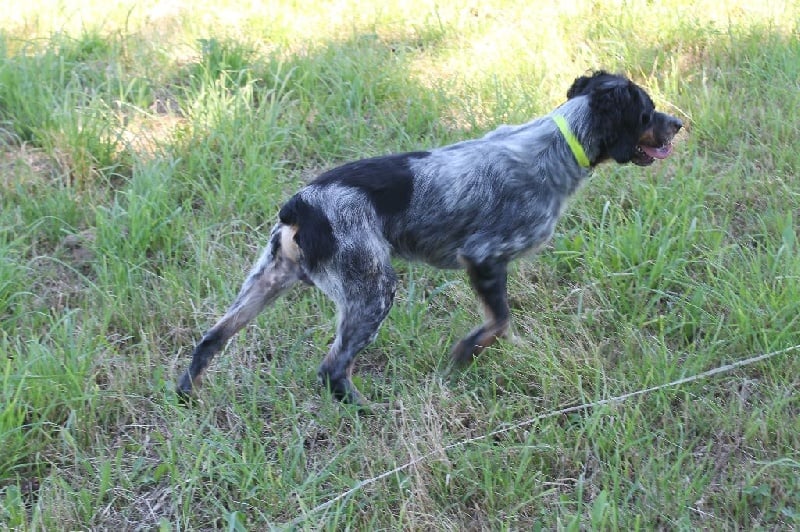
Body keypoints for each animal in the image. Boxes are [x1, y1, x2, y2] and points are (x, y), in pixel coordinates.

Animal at [178, 70, 684, 404]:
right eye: (646, 112)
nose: (679, 124)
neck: (559, 144)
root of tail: (302, 204)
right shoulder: (484, 257)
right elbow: (499, 321)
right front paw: (465, 354)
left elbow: (502, 323)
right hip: (373, 291)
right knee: (331, 369)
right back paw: (366, 411)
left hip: (267, 280)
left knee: (210, 339)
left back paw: (187, 393)